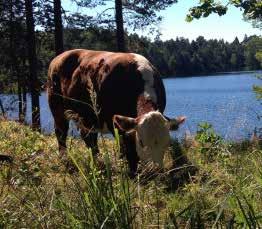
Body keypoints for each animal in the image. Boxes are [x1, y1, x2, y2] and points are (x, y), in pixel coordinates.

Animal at [47, 49, 186, 176]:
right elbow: (126, 148)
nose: (156, 169)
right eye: (141, 142)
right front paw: (132, 171)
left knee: (89, 137)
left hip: (87, 117)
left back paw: (98, 162)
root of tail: (60, 56)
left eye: (167, 143)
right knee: (61, 133)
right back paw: (65, 160)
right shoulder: (115, 123)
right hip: (56, 107)